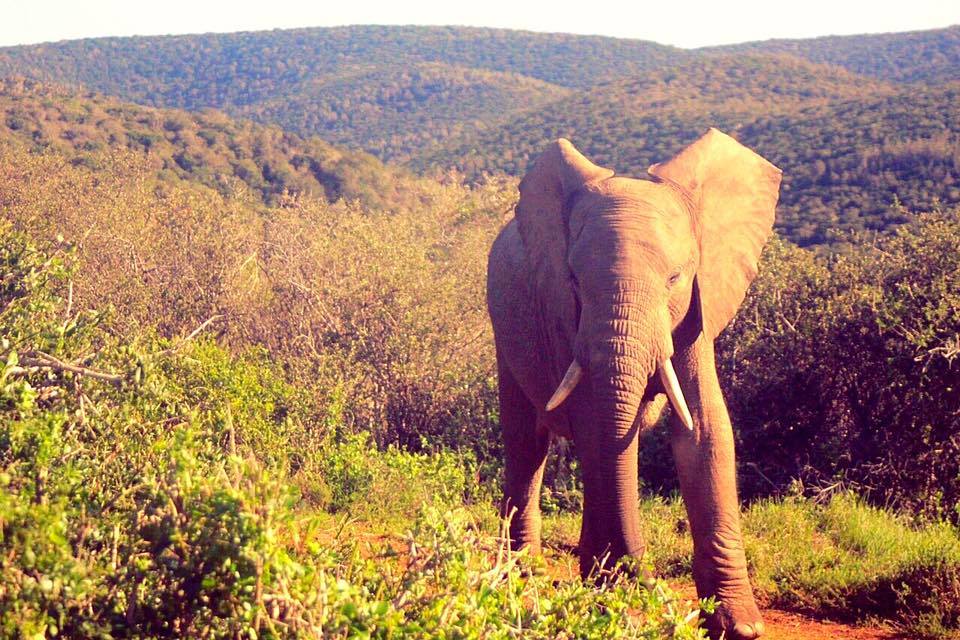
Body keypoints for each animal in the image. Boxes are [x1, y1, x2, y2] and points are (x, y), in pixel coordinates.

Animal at [488, 127, 780, 636]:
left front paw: (737, 625)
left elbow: (705, 431)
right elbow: (595, 428)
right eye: (573, 280)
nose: (644, 579)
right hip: (505, 332)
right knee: (527, 442)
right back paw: (524, 575)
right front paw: (610, 595)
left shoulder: (698, 310)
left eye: (675, 277)